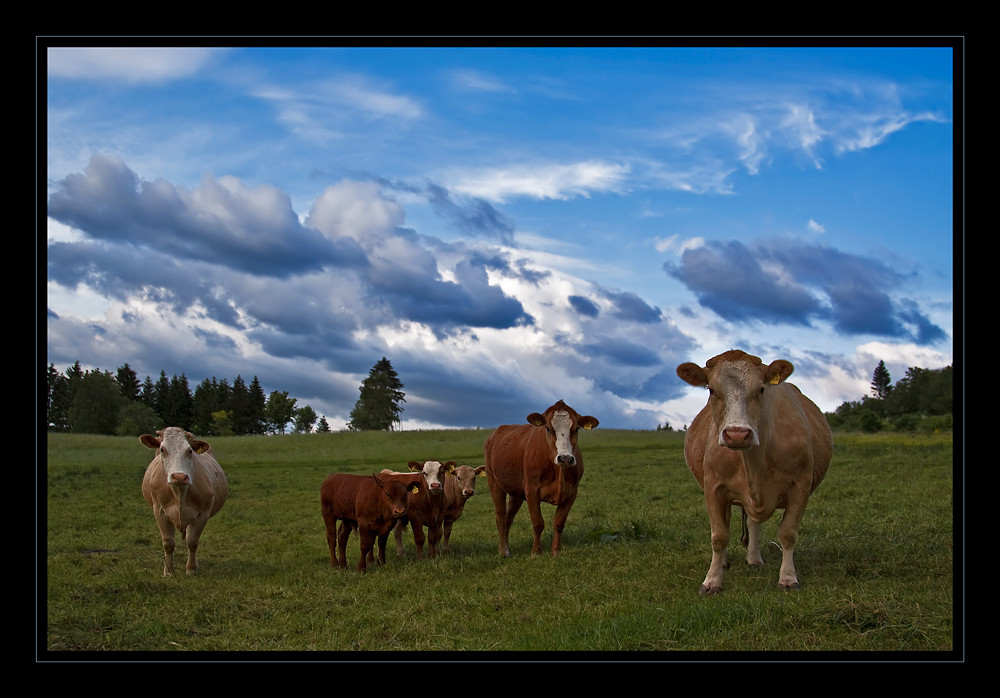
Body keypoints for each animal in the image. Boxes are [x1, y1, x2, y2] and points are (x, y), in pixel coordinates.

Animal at [141, 426, 229, 572]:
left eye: (189, 451)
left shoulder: (203, 514)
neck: (179, 492)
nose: (179, 476)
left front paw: (191, 568)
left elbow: (192, 542)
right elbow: (168, 543)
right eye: (162, 449)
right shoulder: (159, 511)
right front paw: (169, 570)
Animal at [486, 400, 596, 556]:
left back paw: (507, 546)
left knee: (509, 516)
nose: (565, 458)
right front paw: (536, 552)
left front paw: (555, 551)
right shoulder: (531, 491)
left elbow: (559, 523)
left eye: (576, 429)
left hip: (516, 492)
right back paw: (503, 550)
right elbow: (538, 523)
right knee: (500, 515)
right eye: (548, 428)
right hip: (493, 480)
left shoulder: (572, 493)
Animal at [676, 348, 832, 592]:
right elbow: (719, 536)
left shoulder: (800, 486)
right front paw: (712, 580)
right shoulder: (713, 488)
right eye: (711, 390)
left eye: (761, 389)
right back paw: (724, 562)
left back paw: (754, 558)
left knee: (752, 522)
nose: (737, 434)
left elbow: (787, 533)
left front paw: (788, 578)